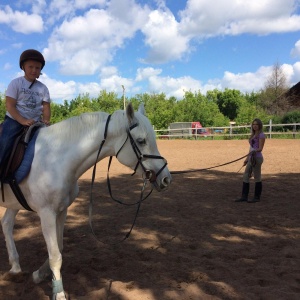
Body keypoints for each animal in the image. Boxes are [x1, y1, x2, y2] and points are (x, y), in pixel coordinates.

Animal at [0, 102, 171, 298]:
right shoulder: (46, 213)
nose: (166, 178)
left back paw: (15, 267)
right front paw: (59, 293)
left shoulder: (62, 211)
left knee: (6, 224)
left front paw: (40, 274)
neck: (55, 159)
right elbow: (55, 256)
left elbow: (59, 247)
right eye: (141, 141)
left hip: (14, 203)